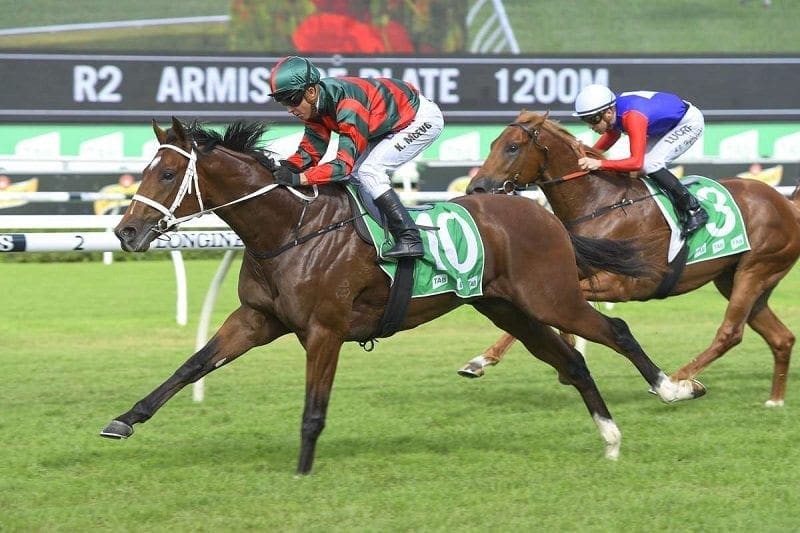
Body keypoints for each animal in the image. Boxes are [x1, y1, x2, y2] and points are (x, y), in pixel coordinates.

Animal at [98, 117, 700, 474]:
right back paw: (610, 438)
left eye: (168, 173)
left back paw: (672, 389)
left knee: (613, 330)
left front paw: (302, 471)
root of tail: (542, 214)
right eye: (148, 169)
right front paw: (124, 420)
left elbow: (313, 409)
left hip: (550, 297)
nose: (126, 232)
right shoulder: (256, 318)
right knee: (571, 361)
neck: (289, 229)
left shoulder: (325, 331)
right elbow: (192, 365)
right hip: (507, 307)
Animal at [462, 110, 800, 406]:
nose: (476, 188)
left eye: (513, 147)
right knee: (781, 337)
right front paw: (482, 361)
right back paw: (775, 400)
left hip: (755, 270)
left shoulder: (625, 284)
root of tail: (787, 203)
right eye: (493, 144)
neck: (600, 204)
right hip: (736, 279)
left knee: (730, 333)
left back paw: (676, 381)